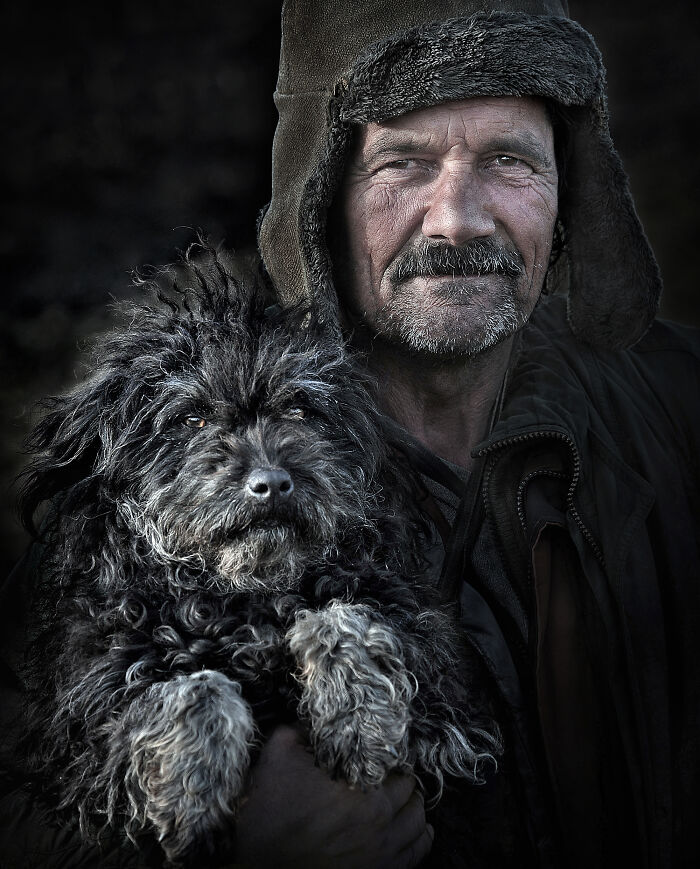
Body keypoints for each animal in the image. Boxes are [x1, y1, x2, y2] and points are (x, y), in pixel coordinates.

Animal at [21, 248, 500, 864]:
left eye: (299, 410)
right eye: (191, 418)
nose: (271, 484)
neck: (247, 599)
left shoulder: (446, 725)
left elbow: (344, 614)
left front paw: (356, 714)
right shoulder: (79, 752)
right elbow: (191, 685)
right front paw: (190, 787)